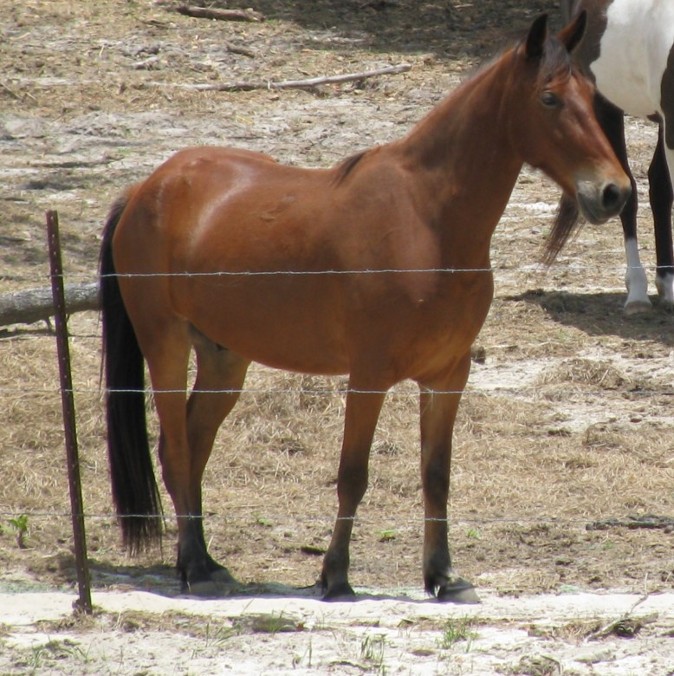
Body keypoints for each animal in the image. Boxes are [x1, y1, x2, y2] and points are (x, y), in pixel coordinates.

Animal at [101, 11, 632, 604]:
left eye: (590, 95)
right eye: (549, 99)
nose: (614, 193)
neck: (427, 219)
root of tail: (146, 188)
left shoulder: (448, 376)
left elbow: (436, 475)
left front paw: (443, 575)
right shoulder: (369, 375)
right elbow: (353, 475)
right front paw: (334, 575)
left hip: (222, 358)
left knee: (195, 447)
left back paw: (207, 562)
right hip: (165, 345)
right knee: (174, 451)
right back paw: (194, 565)